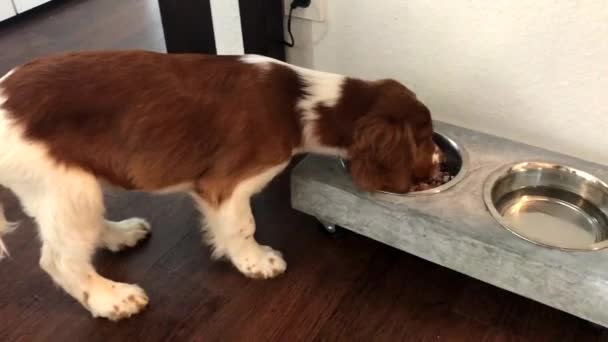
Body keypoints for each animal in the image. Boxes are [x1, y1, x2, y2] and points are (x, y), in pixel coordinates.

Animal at [0, 50, 440, 320]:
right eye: (426, 137)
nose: (438, 164)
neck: (304, 101)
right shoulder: (226, 184)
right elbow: (242, 226)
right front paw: (256, 262)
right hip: (67, 187)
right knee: (59, 260)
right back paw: (114, 298)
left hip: (77, 182)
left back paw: (120, 235)